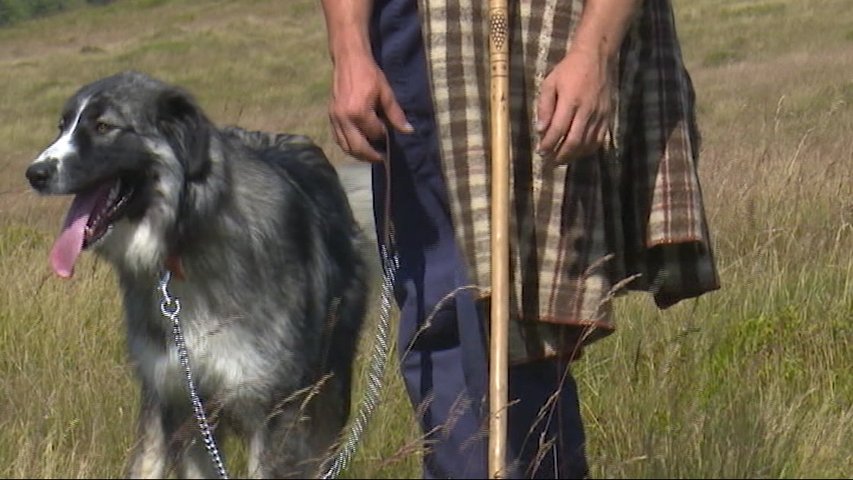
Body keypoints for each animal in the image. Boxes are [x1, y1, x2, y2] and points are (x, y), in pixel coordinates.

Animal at [24, 69, 366, 478]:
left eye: (104, 126)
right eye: (62, 126)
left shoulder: (274, 409)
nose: (35, 173)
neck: (186, 239)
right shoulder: (182, 402)